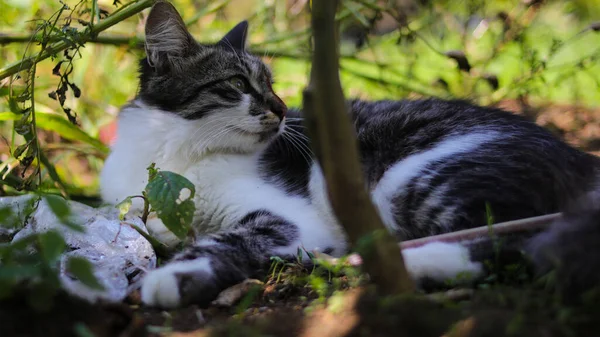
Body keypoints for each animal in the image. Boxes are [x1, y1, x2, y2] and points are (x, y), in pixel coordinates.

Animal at [99, 1, 600, 308]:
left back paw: (399, 264)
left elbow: (228, 240)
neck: (179, 154)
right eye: (239, 84)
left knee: (513, 242)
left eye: (273, 85)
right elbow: (140, 224)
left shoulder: (290, 218)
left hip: (417, 180)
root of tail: (582, 160)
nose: (283, 109)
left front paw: (175, 276)